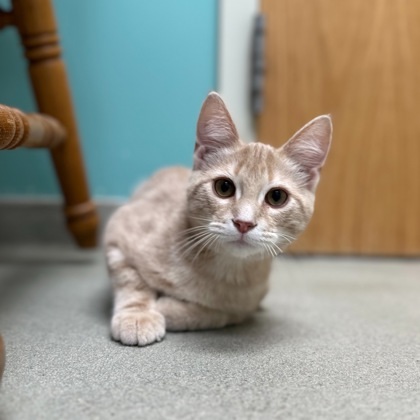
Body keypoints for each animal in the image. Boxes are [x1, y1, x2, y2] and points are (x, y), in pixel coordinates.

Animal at [104, 93, 332, 346]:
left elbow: (225, 313)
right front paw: (138, 315)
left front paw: (172, 309)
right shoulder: (117, 231)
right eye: (224, 187)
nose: (244, 223)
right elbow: (130, 280)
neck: (224, 269)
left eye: (276, 197)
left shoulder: (247, 303)